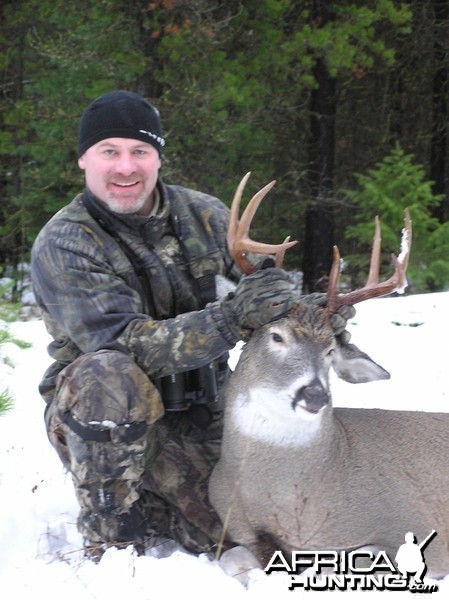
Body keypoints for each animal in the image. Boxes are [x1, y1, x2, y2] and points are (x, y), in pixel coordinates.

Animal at [208, 172, 448, 580]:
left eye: (331, 351)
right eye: (277, 336)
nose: (315, 395)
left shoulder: (411, 523)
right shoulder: (240, 529)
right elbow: (230, 560)